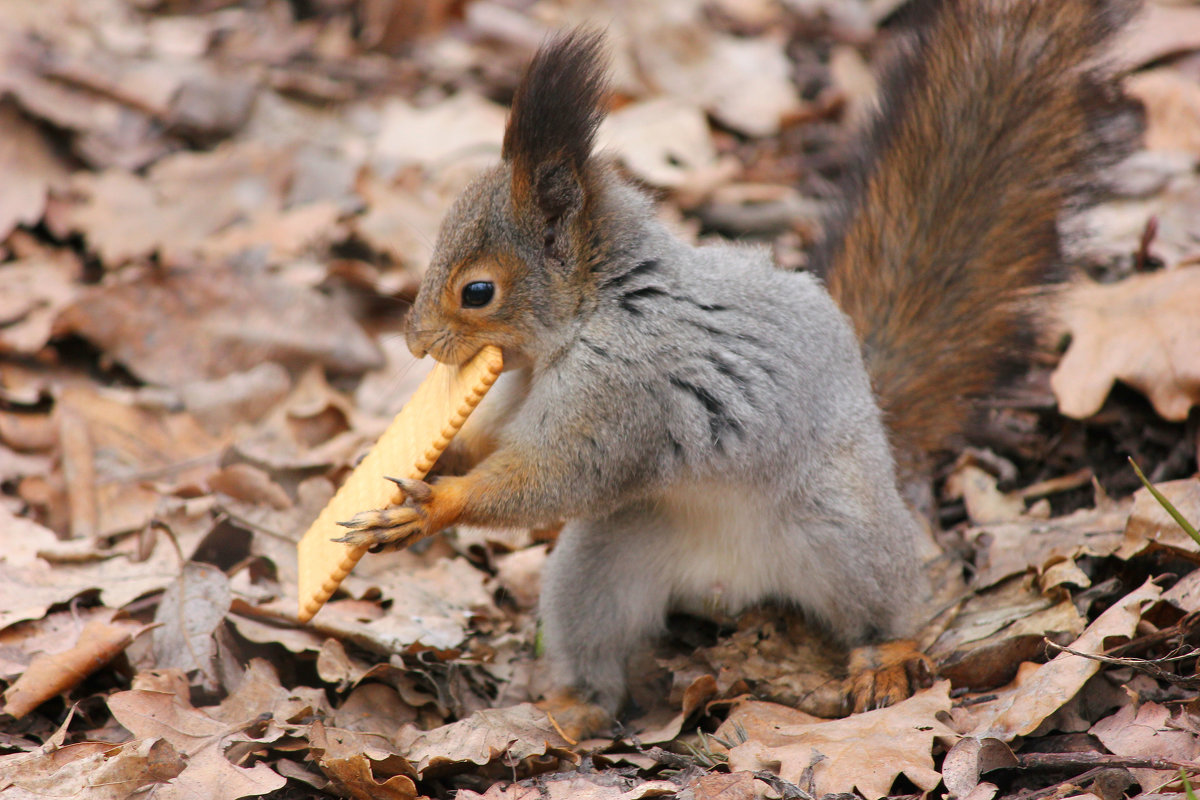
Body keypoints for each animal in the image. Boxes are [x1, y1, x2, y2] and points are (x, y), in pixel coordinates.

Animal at [336, 0, 1132, 738]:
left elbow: (561, 473)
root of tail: (731, 587)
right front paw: (410, 463)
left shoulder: (626, 388)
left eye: (477, 292)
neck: (592, 314)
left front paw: (433, 505)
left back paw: (886, 659)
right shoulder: (521, 388)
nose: (414, 342)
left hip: (847, 530)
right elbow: (494, 443)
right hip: (602, 566)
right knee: (597, 646)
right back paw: (572, 707)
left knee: (887, 604)